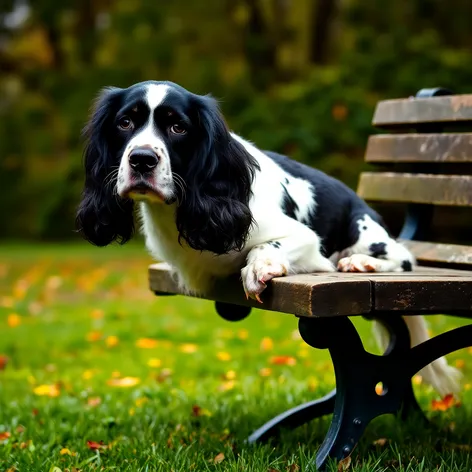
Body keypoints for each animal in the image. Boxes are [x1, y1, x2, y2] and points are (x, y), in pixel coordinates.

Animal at [76, 80, 460, 394]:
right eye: (125, 123)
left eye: (177, 127)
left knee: (403, 258)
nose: (141, 160)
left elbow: (264, 247)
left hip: (366, 232)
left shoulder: (306, 240)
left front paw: (260, 268)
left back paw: (361, 262)